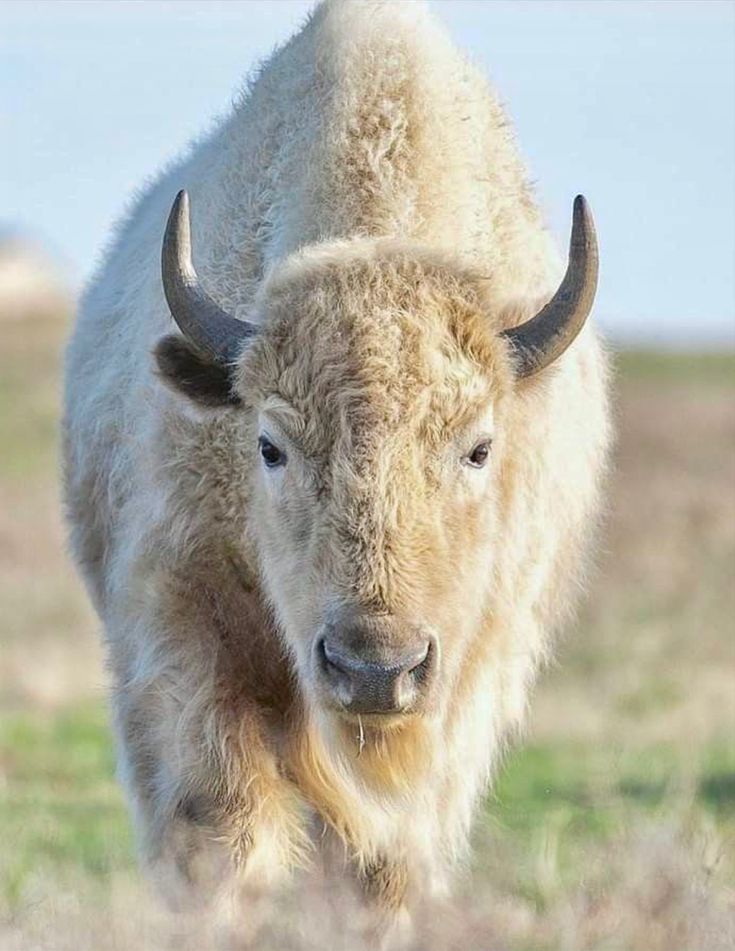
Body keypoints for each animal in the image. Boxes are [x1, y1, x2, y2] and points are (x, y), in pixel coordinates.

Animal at [63, 0, 612, 928]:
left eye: (478, 447)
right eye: (269, 445)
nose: (373, 668)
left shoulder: (472, 671)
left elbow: (380, 864)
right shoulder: (184, 631)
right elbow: (222, 838)